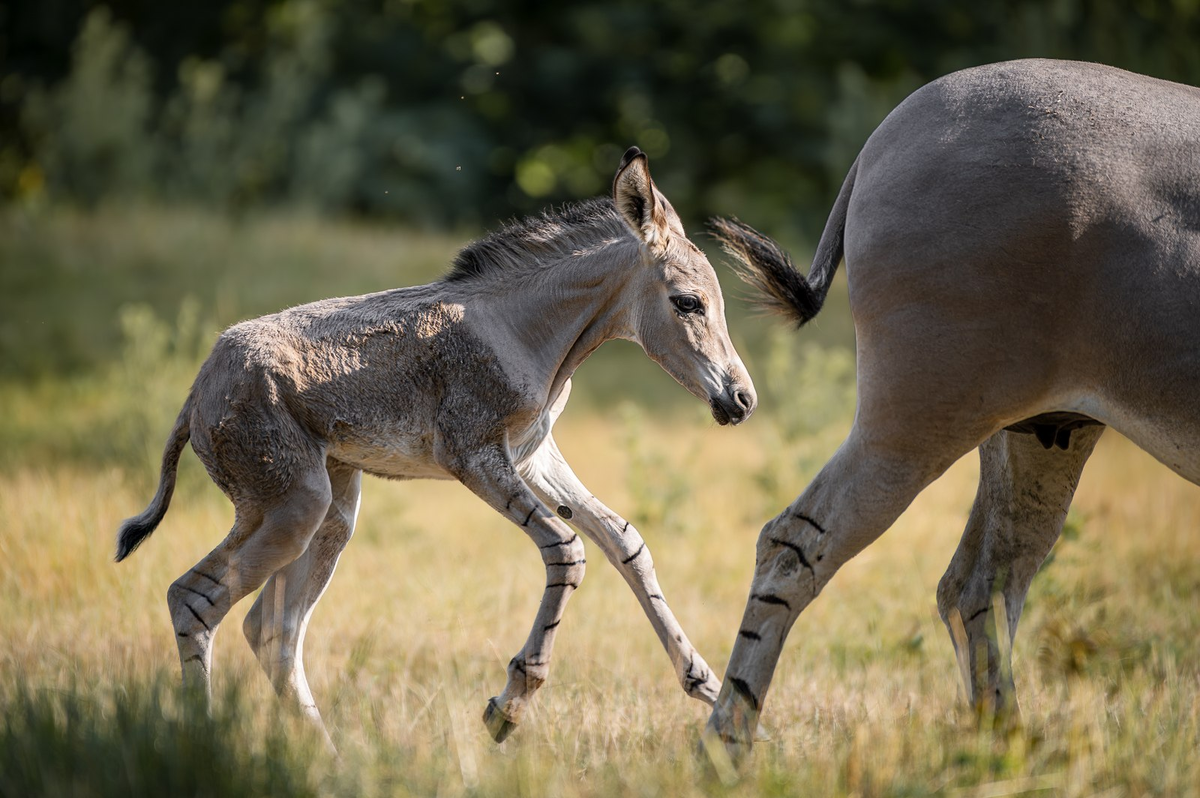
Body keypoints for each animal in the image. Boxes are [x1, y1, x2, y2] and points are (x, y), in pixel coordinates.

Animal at [121, 147, 758, 739]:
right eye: (688, 302)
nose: (742, 399)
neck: (523, 332)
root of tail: (197, 392)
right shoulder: (474, 458)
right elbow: (567, 549)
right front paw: (509, 705)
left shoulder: (535, 455)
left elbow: (626, 542)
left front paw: (706, 683)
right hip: (290, 508)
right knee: (194, 599)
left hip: (329, 514)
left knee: (270, 629)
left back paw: (328, 761)